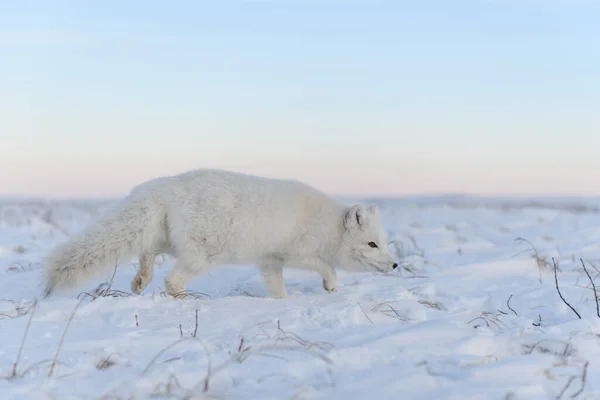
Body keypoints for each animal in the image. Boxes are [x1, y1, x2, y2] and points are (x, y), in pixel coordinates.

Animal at [42, 167, 398, 298]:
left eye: (384, 243)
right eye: (372, 244)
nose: (395, 264)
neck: (328, 225)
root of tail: (162, 186)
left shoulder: (270, 261)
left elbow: (277, 287)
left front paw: (282, 303)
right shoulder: (297, 253)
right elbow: (326, 266)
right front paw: (331, 286)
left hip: (171, 242)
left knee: (148, 252)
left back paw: (141, 281)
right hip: (202, 254)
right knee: (171, 280)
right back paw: (186, 300)